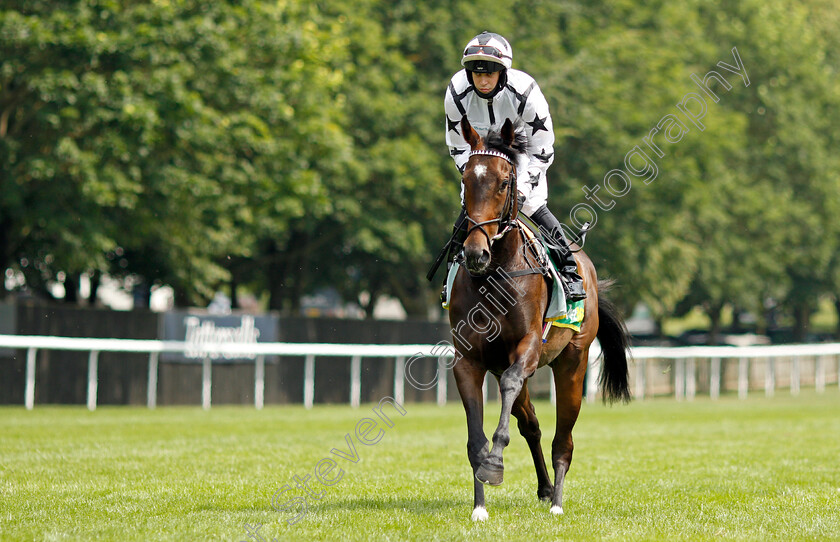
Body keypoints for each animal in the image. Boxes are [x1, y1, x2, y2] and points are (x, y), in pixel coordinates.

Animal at [450, 116, 628, 524]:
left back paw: (558, 500)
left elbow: (511, 396)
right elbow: (476, 436)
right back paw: (545, 488)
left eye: (504, 182)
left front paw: (496, 461)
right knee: (530, 424)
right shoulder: (469, 360)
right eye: (466, 179)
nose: (475, 253)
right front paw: (480, 503)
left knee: (564, 439)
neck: (495, 275)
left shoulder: (527, 348)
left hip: (572, 363)